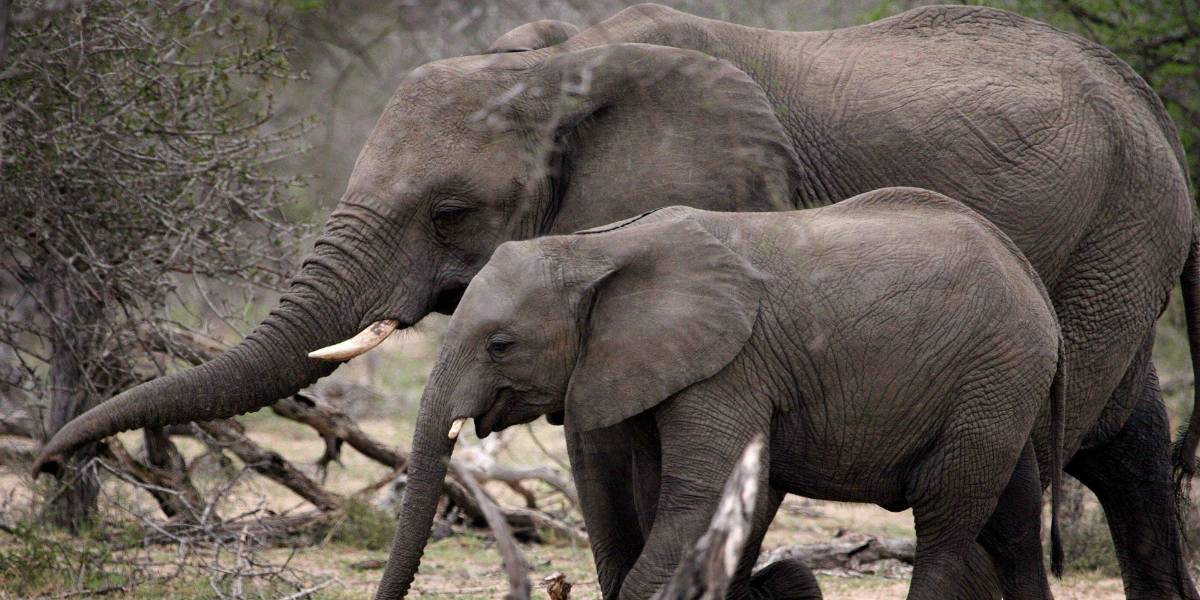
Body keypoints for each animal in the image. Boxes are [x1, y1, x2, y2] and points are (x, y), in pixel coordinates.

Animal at [400, 191, 1067, 600]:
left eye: (500, 345)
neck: (592, 247)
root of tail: (1030, 275)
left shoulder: (730, 365)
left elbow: (700, 500)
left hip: (992, 373)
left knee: (945, 519)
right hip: (1001, 387)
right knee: (1013, 525)